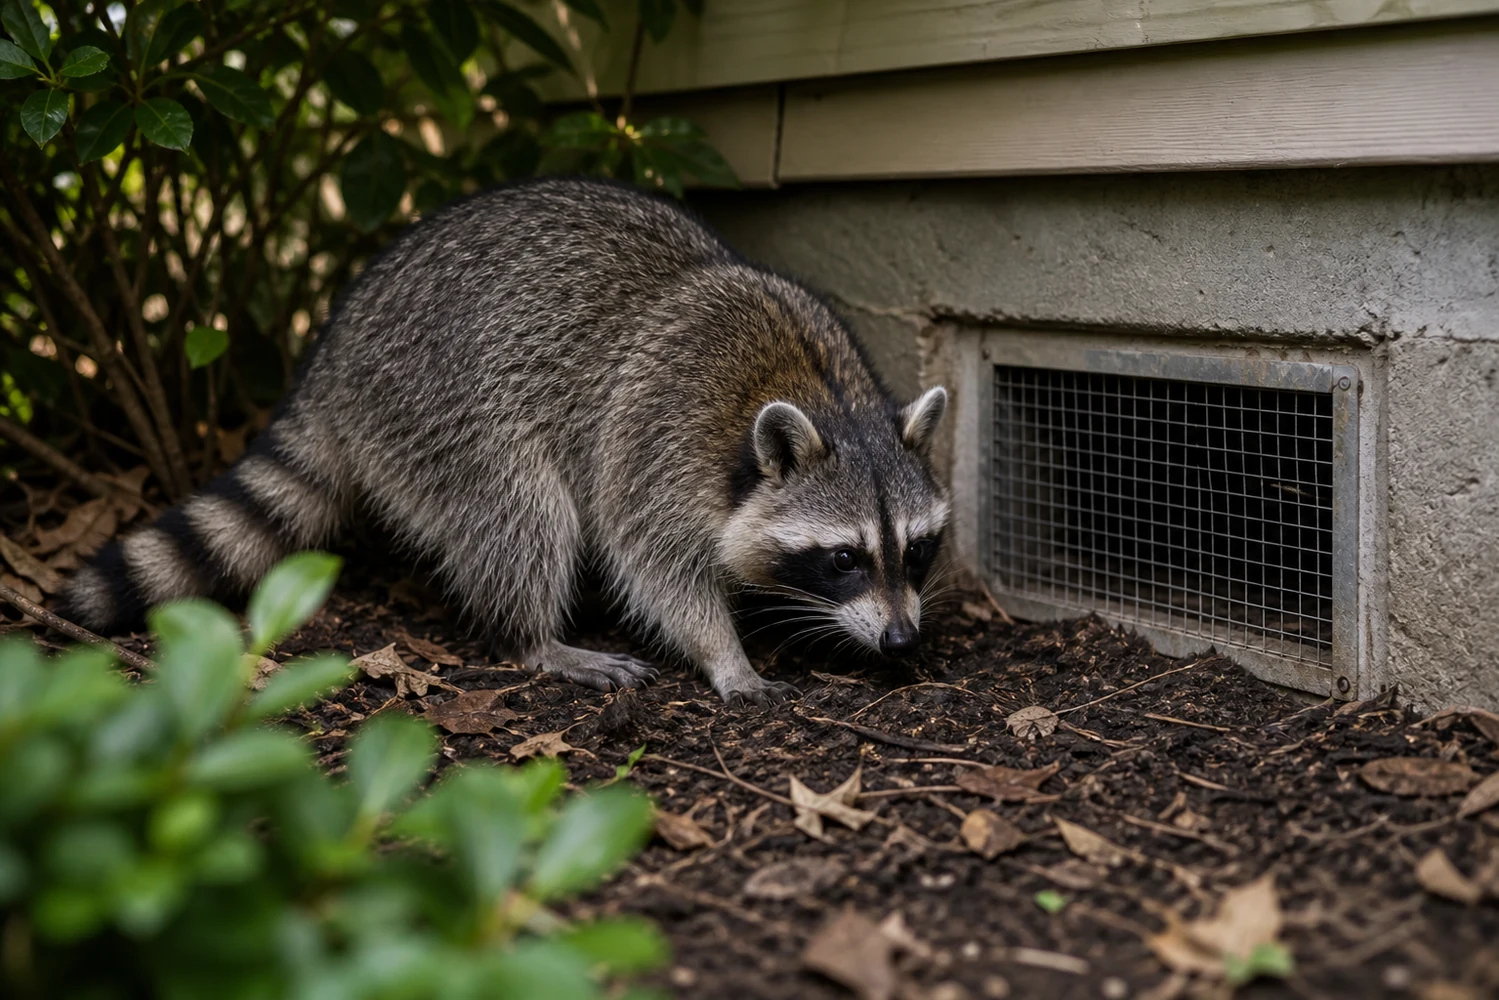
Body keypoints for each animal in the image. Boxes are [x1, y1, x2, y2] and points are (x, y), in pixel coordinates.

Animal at [62, 178, 950, 706]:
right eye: (843, 558)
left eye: (916, 550)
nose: (902, 639)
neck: (823, 393)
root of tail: (338, 348)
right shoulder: (655, 439)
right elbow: (652, 560)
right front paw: (722, 651)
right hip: (437, 401)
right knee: (521, 511)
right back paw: (533, 637)